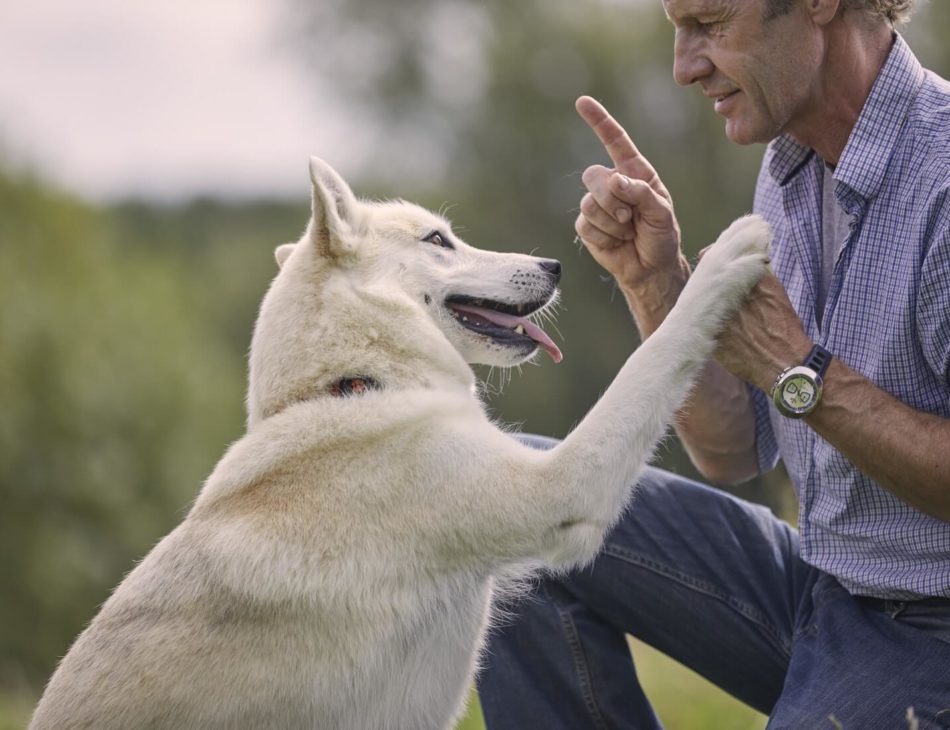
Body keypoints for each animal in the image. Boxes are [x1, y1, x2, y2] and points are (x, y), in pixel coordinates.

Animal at [29, 156, 772, 724]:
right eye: (438, 241)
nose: (554, 263)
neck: (358, 385)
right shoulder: (562, 485)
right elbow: (655, 358)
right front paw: (733, 253)